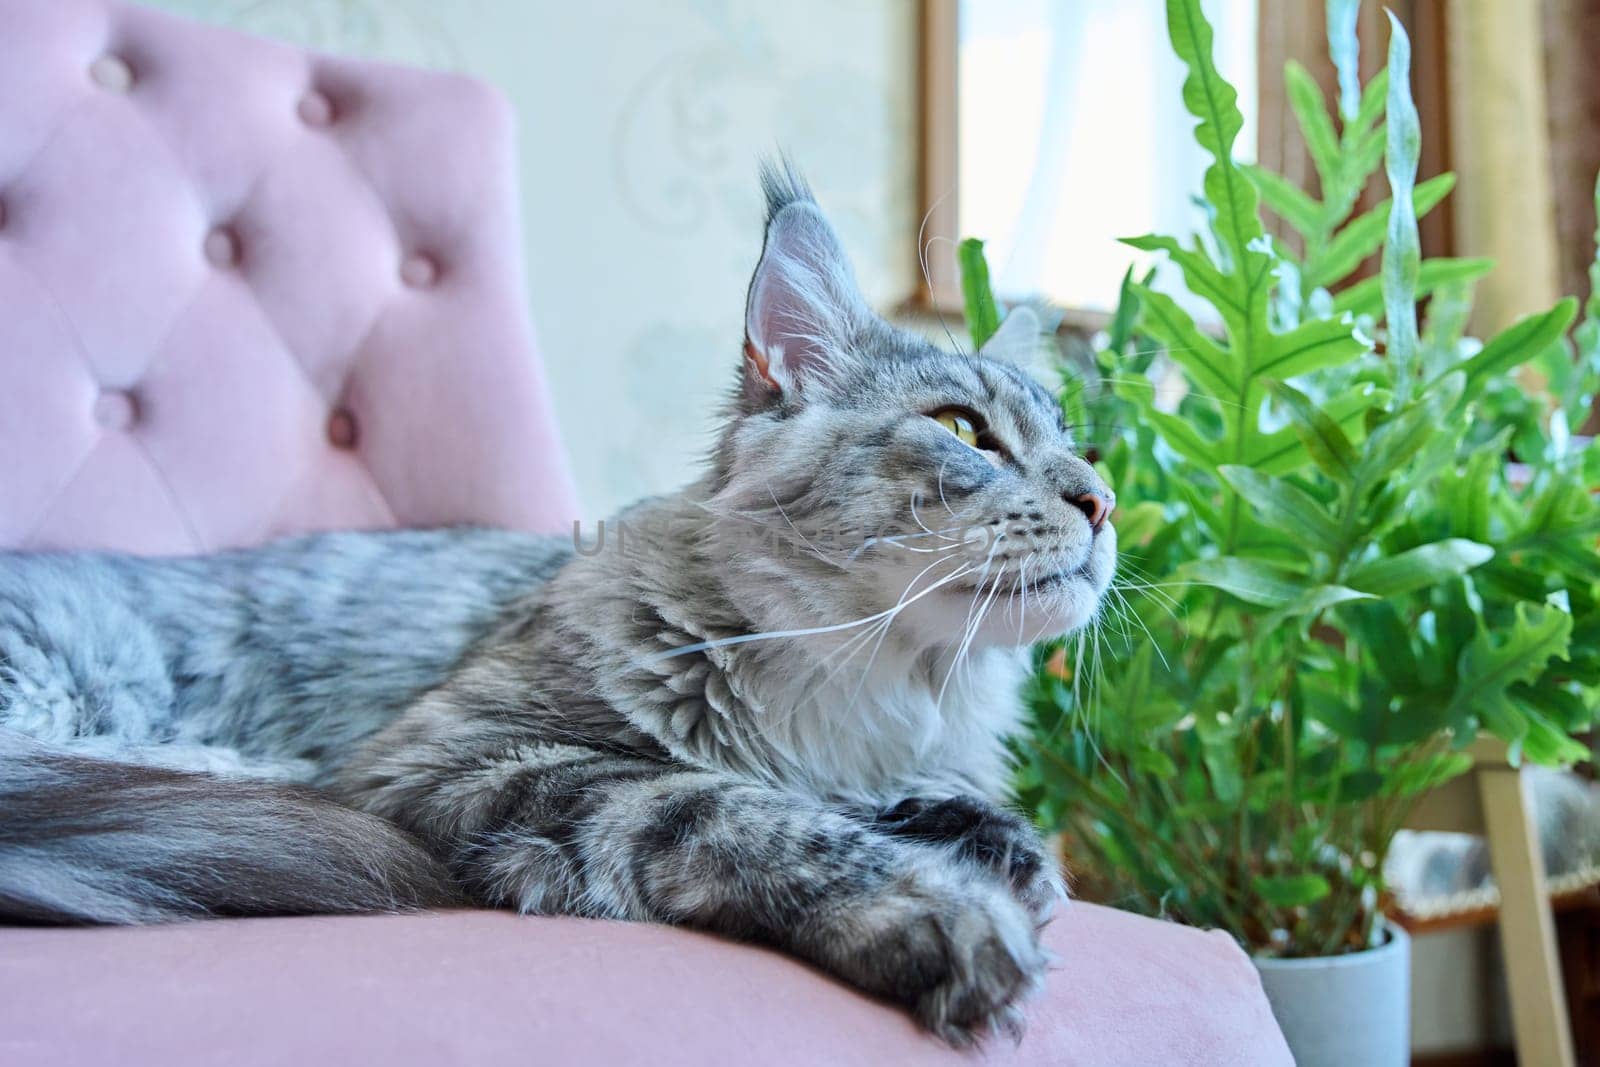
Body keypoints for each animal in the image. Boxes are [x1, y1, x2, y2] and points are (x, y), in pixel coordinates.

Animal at [0, 167, 1120, 1043]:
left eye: (1087, 452)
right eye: (964, 430)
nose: (1103, 501)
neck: (875, 688)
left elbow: (962, 815)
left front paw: (987, 838)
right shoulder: (460, 760)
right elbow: (727, 804)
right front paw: (938, 904)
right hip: (68, 684)